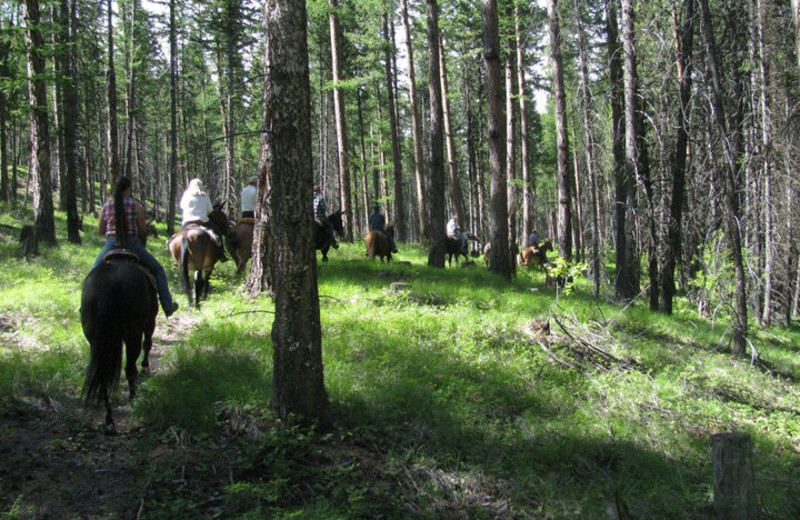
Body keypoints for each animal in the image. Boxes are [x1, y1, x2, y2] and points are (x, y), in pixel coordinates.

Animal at [81, 256, 158, 430]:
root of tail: (110, 283)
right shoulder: (150, 321)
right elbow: (148, 343)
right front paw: (145, 367)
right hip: (133, 333)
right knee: (130, 367)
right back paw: (133, 399)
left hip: (96, 340)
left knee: (102, 375)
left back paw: (109, 418)